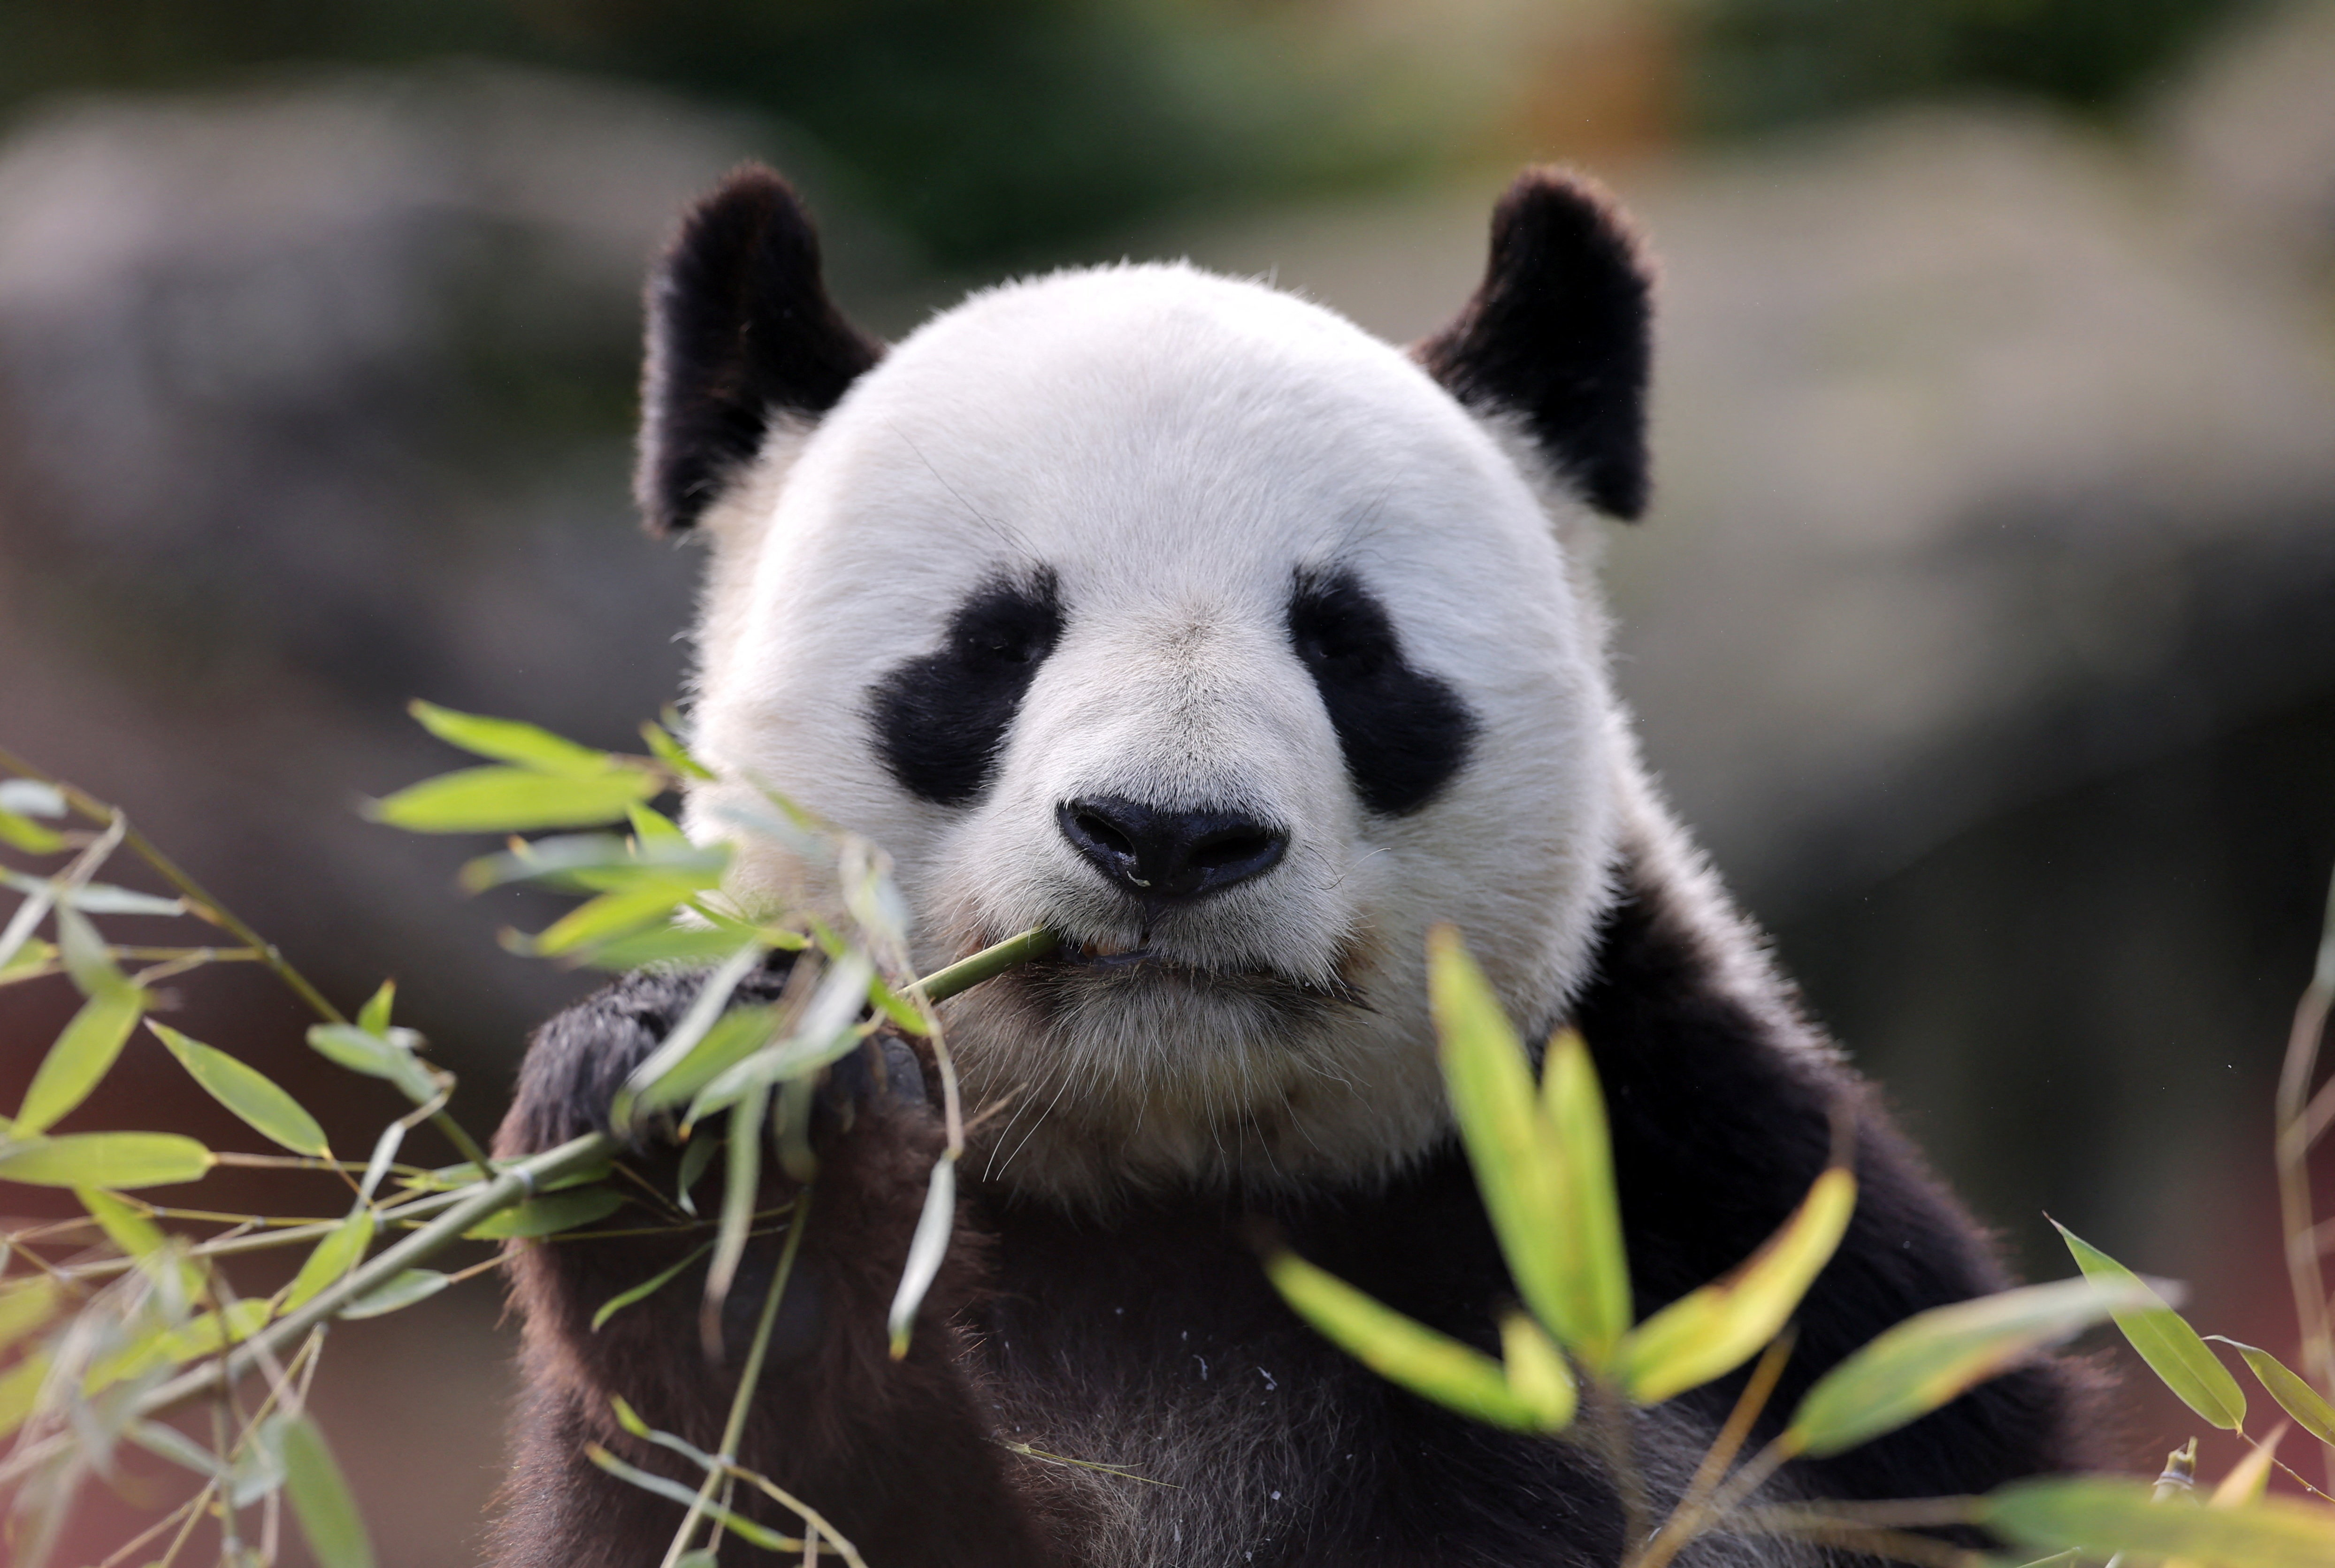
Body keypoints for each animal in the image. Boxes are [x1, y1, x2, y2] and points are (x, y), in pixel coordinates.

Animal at [488, 165, 2093, 1567]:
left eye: (1347, 644)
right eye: (994, 638)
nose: (1165, 833)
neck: (1169, 1187)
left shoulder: (1734, 1278)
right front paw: (721, 1148)